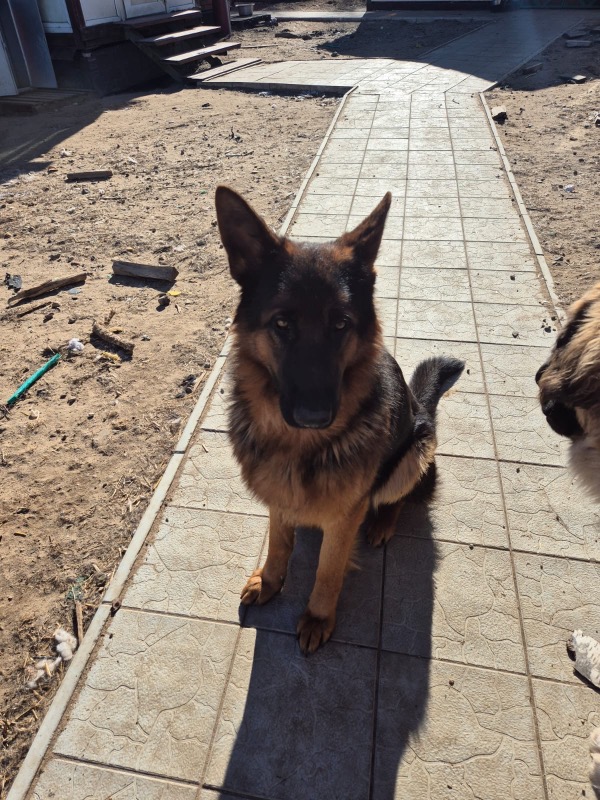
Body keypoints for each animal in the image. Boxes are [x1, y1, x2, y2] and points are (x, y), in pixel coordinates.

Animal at [215, 186, 464, 653]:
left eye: (341, 324)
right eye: (281, 323)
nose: (314, 417)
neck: (297, 446)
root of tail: (422, 410)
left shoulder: (346, 516)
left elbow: (328, 569)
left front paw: (318, 616)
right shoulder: (278, 497)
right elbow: (280, 543)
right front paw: (271, 581)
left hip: (416, 451)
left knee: (394, 496)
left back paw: (383, 520)